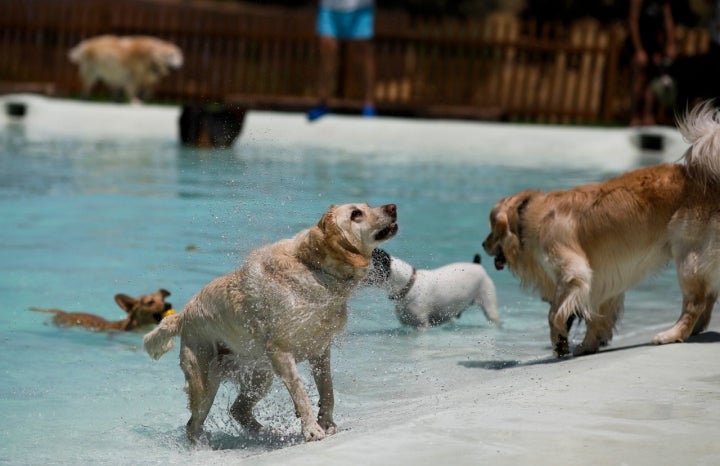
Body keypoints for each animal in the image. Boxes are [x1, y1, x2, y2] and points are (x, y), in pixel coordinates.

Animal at [143, 203, 396, 444]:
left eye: (367, 205)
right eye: (355, 214)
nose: (393, 207)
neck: (314, 268)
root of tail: (182, 316)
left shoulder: (320, 350)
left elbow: (327, 390)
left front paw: (326, 422)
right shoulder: (280, 350)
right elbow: (300, 391)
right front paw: (312, 430)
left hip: (260, 375)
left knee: (238, 410)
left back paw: (268, 434)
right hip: (204, 382)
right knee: (193, 425)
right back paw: (204, 447)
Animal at [480, 102, 720, 356]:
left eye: (491, 228)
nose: (483, 244)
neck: (526, 215)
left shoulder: (573, 272)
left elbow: (554, 313)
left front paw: (560, 339)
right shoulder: (603, 279)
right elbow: (597, 317)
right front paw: (588, 344)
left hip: (688, 256)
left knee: (695, 302)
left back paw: (672, 334)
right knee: (709, 295)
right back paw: (696, 328)